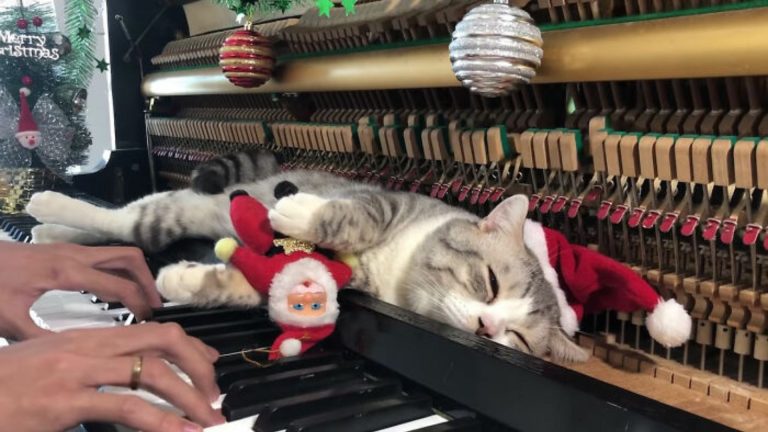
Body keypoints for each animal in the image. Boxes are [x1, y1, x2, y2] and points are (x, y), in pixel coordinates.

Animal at [25, 150, 588, 362]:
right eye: (489, 283)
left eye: (517, 340)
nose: (486, 329)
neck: (393, 282)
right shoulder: (386, 203)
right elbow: (358, 216)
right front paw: (298, 210)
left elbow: (251, 286)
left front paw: (185, 282)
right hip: (190, 209)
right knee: (127, 219)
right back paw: (47, 206)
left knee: (129, 227)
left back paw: (52, 228)